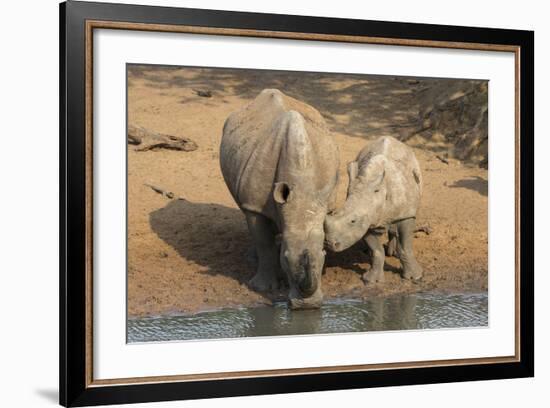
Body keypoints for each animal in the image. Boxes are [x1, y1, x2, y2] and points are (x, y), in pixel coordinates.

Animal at [220, 87, 340, 308]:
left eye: (323, 256)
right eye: (286, 258)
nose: (307, 306)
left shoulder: (325, 202)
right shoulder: (254, 205)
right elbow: (263, 240)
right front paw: (263, 288)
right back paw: (253, 259)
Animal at [326, 135, 424, 282]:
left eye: (353, 221)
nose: (330, 244)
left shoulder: (406, 214)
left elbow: (405, 247)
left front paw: (415, 277)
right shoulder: (368, 219)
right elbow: (376, 250)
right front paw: (371, 280)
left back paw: (393, 253)